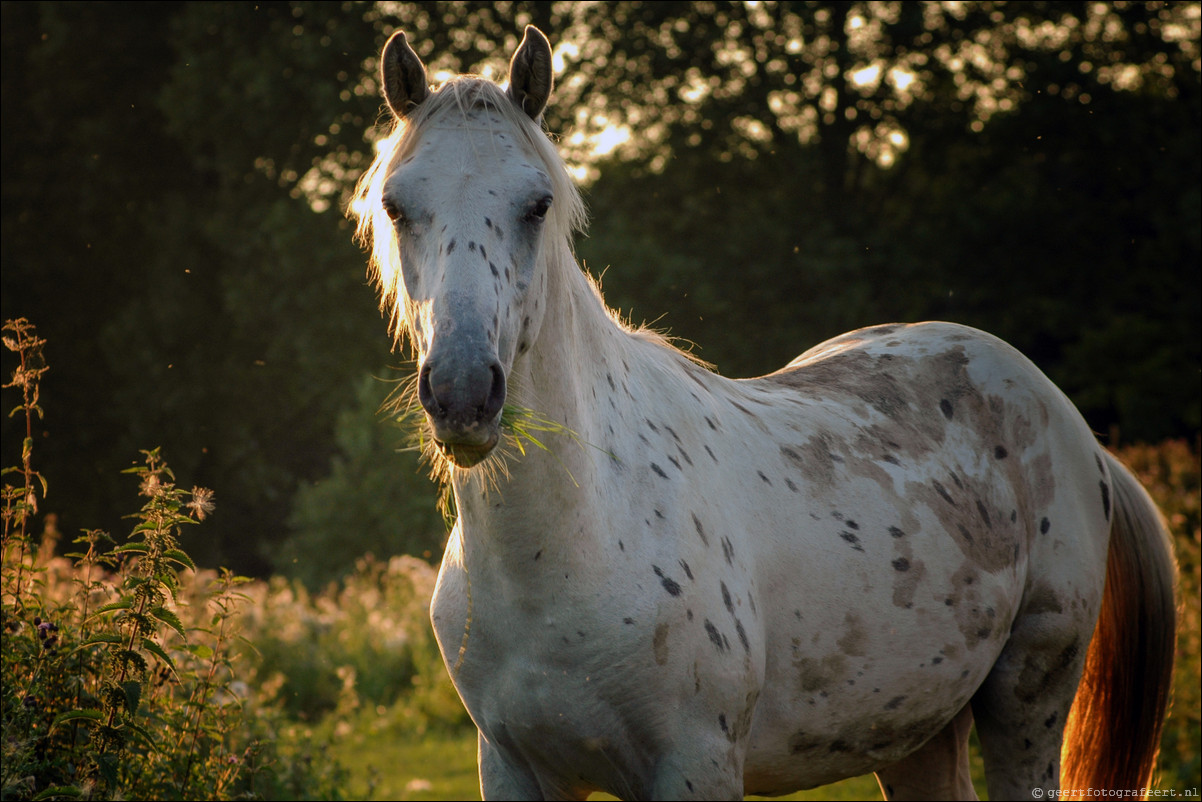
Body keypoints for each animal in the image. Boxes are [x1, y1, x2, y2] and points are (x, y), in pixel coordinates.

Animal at [346, 25, 1173, 802]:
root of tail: (1069, 423)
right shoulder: (512, 767)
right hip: (914, 730)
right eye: (397, 205)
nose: (462, 393)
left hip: (1029, 699)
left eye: (536, 204)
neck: (568, 548)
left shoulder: (697, 766)